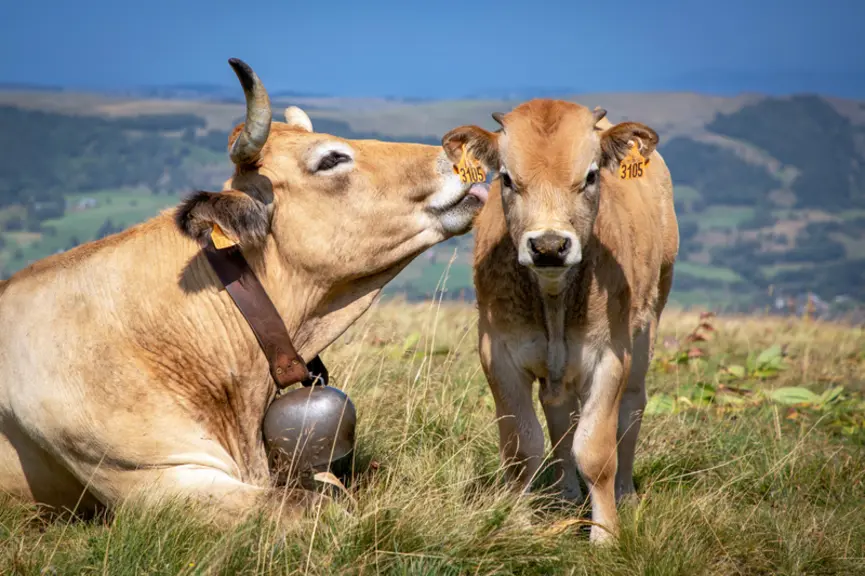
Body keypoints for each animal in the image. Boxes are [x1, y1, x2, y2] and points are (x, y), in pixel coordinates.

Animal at [441, 99, 678, 543]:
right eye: (506, 178)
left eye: (590, 175)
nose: (549, 246)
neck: (553, 301)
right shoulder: (498, 355)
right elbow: (522, 448)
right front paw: (516, 524)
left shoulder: (610, 357)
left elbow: (597, 450)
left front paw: (605, 534)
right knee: (561, 418)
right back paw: (565, 495)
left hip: (649, 322)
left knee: (631, 409)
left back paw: (625, 495)